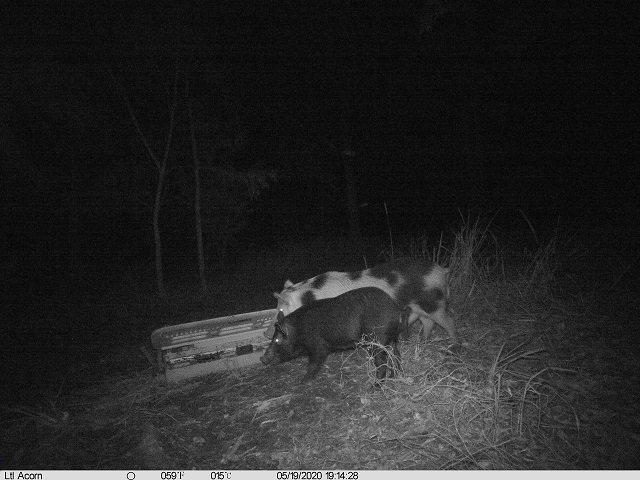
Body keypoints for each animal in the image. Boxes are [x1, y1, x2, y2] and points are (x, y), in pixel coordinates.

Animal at [262, 286, 408, 384]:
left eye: (276, 339)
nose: (262, 358)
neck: (298, 329)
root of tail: (396, 309)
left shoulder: (318, 347)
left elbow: (313, 364)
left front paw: (303, 382)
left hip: (377, 339)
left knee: (382, 362)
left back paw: (374, 387)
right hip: (391, 339)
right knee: (396, 354)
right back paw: (396, 376)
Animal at [270, 255, 460, 352]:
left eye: (281, 308)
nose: (267, 332)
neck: (310, 296)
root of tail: (442, 270)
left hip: (432, 301)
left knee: (448, 320)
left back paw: (454, 344)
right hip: (419, 305)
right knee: (427, 322)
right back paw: (421, 342)